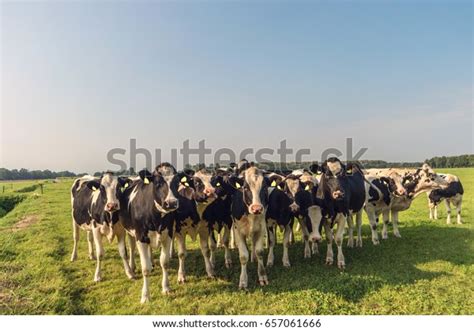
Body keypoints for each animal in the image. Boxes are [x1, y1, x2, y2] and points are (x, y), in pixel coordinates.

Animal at [119, 165, 182, 304]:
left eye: (177, 183)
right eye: (157, 183)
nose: (171, 203)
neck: (157, 217)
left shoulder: (168, 235)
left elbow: (164, 262)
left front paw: (166, 288)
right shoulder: (141, 236)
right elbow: (145, 269)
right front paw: (145, 296)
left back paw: (152, 262)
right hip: (128, 231)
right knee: (131, 248)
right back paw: (132, 267)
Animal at [231, 162, 270, 290]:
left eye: (264, 187)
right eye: (246, 187)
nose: (256, 208)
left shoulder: (261, 228)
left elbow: (259, 252)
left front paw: (262, 276)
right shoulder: (238, 231)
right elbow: (243, 256)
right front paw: (243, 281)